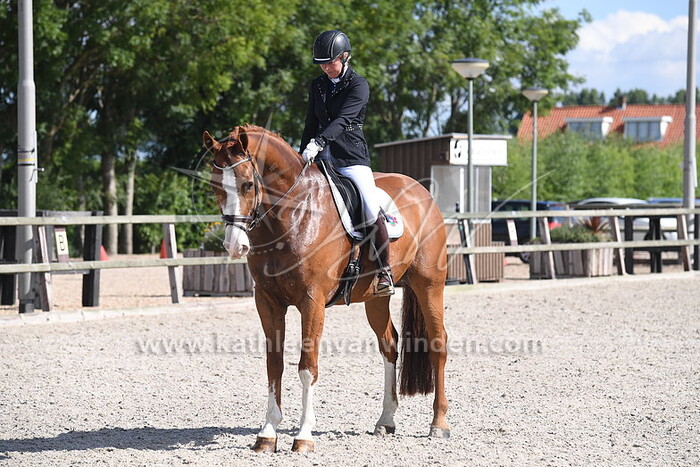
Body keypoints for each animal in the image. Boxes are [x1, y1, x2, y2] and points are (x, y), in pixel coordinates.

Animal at [203, 124, 449, 453]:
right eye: (216, 186)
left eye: (247, 185)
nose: (234, 246)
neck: (293, 214)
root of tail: (422, 192)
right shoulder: (267, 302)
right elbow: (274, 365)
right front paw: (267, 434)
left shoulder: (312, 301)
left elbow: (307, 367)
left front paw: (303, 436)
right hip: (375, 297)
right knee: (389, 344)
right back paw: (385, 421)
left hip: (429, 284)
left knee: (437, 343)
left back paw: (439, 424)